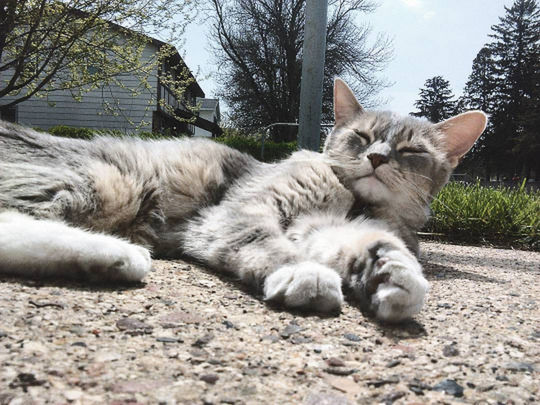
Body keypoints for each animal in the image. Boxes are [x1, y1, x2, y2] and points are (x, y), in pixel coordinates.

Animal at [0, 79, 490, 322]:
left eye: (409, 151)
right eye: (362, 137)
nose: (375, 157)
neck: (354, 202)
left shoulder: (329, 229)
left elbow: (377, 246)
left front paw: (395, 277)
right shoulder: (247, 209)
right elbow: (264, 242)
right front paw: (302, 272)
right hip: (100, 181)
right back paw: (118, 253)